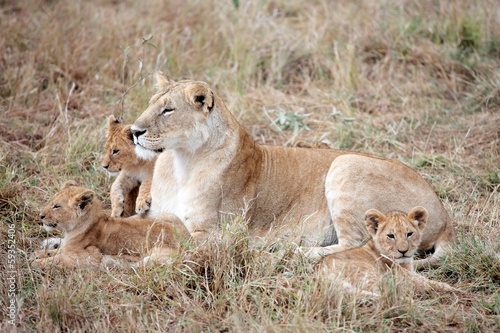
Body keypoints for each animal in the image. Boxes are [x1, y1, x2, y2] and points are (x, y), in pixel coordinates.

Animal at [131, 72, 456, 264]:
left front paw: (147, 260)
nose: (133, 131)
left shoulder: (214, 233)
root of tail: (445, 219)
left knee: (359, 244)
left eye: (168, 110)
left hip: (345, 163)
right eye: (150, 104)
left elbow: (175, 241)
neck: (180, 161)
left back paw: (290, 251)